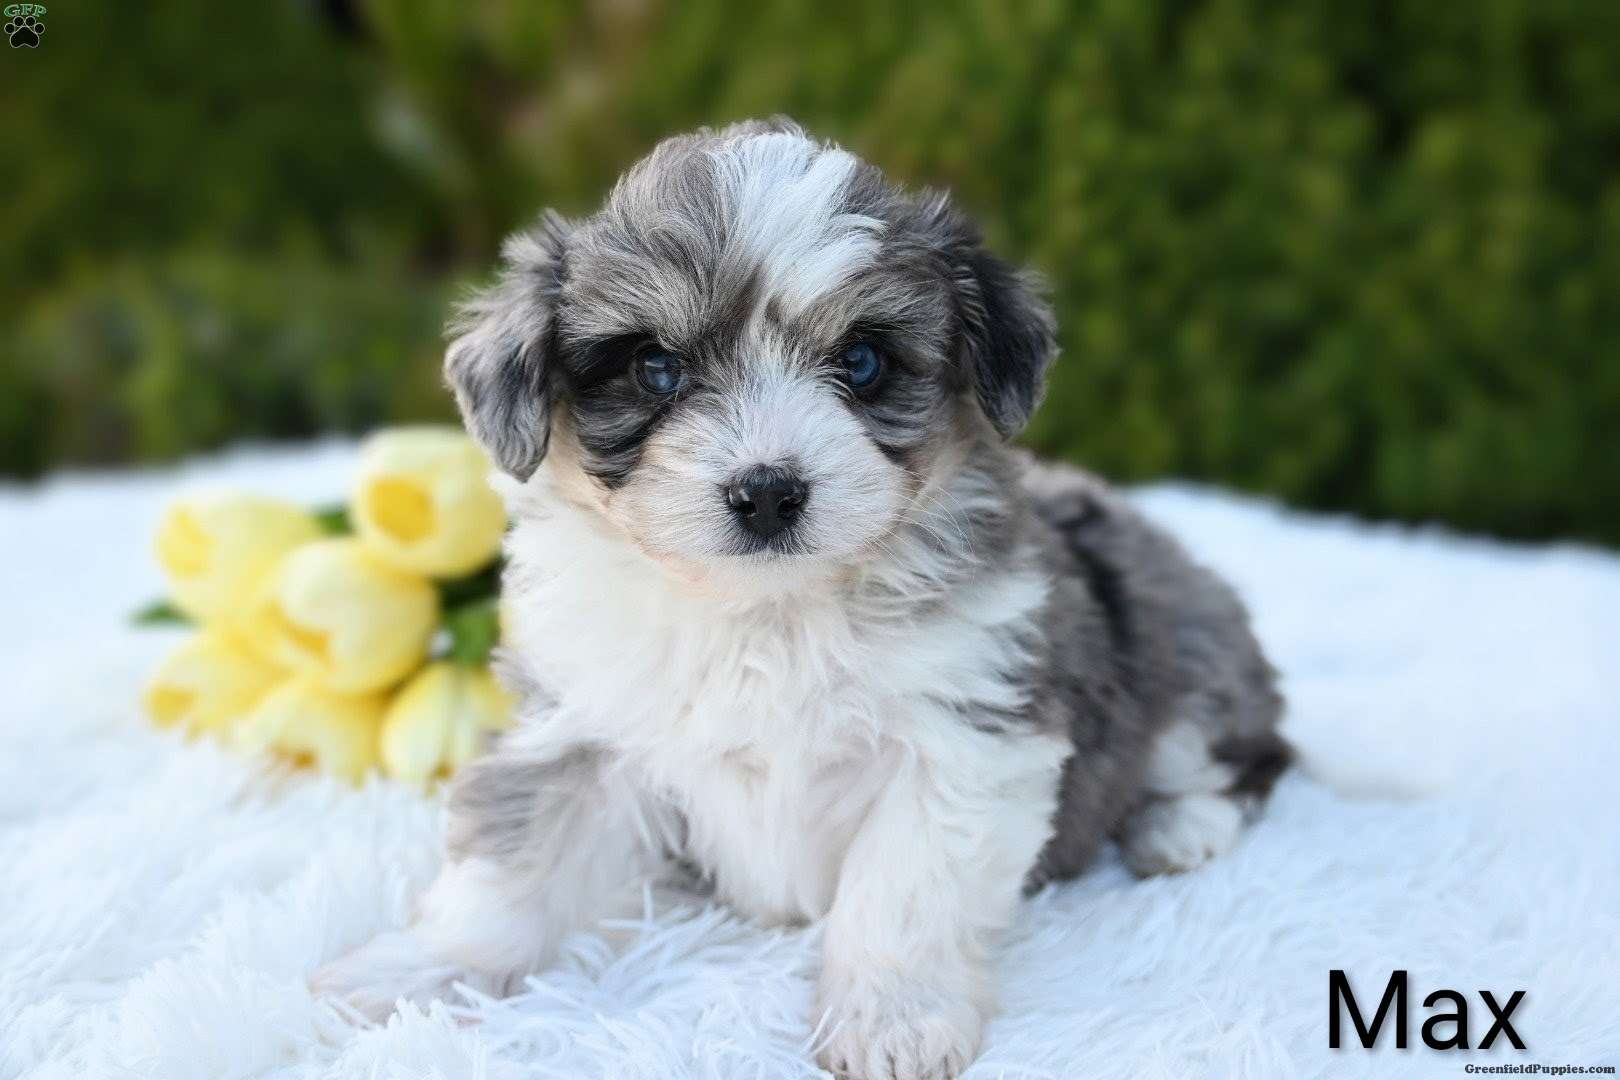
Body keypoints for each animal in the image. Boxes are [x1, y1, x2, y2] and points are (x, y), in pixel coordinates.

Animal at [315, 117, 1290, 1080]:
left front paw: (892, 1018)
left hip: (1186, 646)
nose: (768, 492)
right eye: (655, 367)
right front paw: (423, 973)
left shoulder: (965, 739)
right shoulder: (578, 729)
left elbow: (903, 893)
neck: (767, 612)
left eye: (861, 360)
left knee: (1249, 758)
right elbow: (511, 867)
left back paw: (1178, 828)